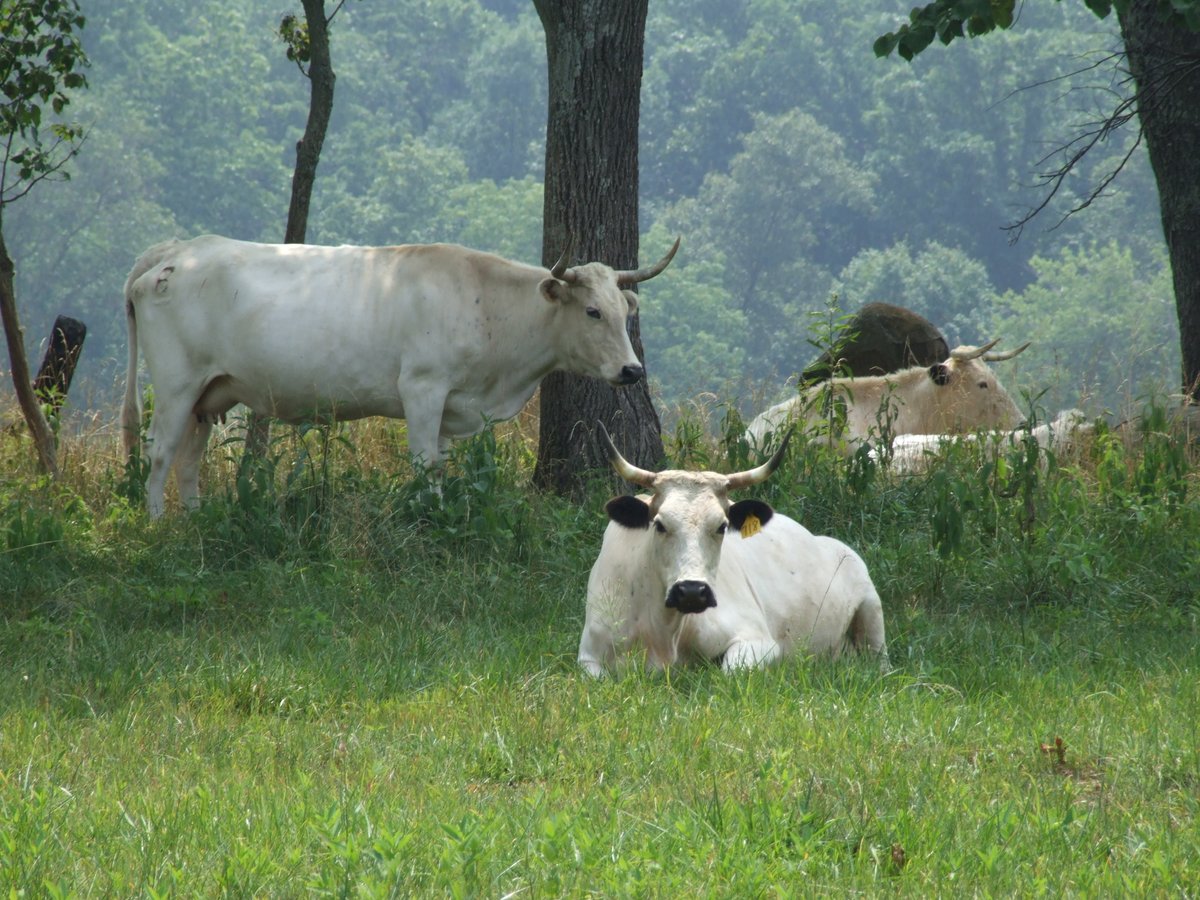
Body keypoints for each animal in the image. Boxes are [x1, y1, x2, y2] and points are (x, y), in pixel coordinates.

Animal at [121, 234, 679, 517]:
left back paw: (197, 522)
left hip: (209, 393)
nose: (632, 370)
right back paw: (160, 524)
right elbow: (425, 466)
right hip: (176, 384)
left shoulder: (453, 405)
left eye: (624, 311)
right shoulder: (422, 388)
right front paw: (429, 518)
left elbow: (442, 464)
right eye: (591, 312)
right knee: (160, 451)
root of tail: (175, 249)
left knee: (189, 458)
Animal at [578, 423, 888, 675]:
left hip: (872, 609)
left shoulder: (759, 640)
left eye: (722, 526)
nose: (692, 591)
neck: (663, 633)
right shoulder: (587, 657)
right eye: (659, 524)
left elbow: (729, 671)